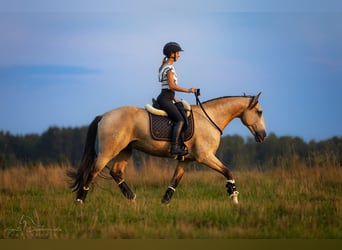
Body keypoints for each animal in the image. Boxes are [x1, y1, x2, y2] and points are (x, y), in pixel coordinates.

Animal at [69, 92, 268, 205]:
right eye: (259, 112)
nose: (263, 135)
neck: (209, 118)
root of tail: (104, 115)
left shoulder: (186, 160)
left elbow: (175, 181)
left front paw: (164, 202)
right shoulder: (205, 157)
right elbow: (228, 172)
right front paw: (234, 198)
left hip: (126, 151)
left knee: (116, 172)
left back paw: (131, 197)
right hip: (107, 153)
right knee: (92, 172)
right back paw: (80, 201)